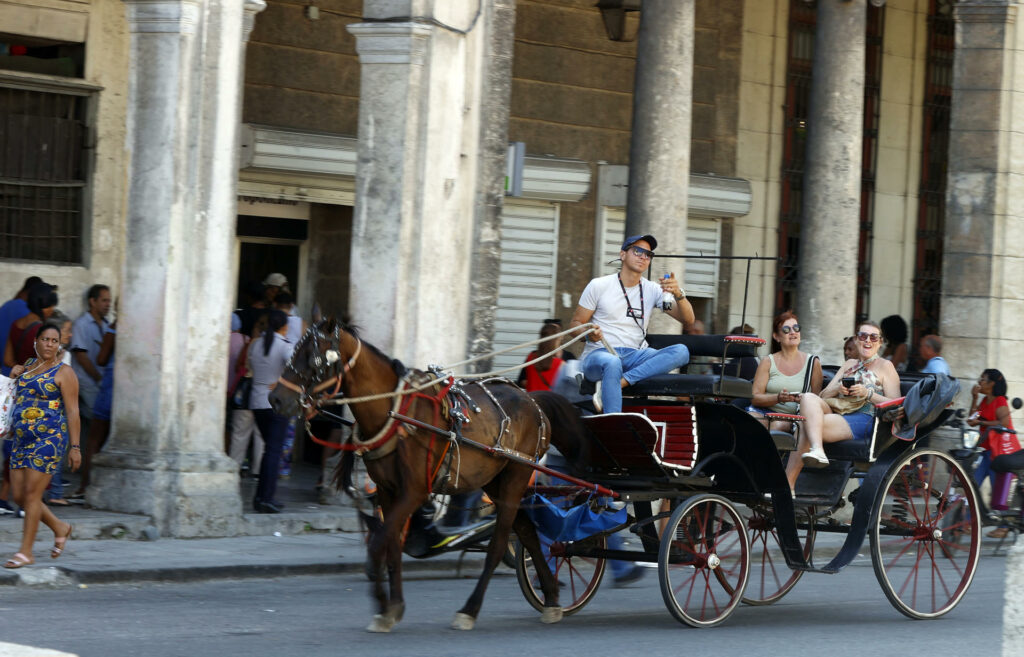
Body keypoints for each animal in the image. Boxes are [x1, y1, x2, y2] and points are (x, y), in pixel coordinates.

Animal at [268, 317, 565, 630]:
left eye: (313, 358)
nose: (275, 399)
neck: (394, 413)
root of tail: (533, 403)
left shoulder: (414, 491)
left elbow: (378, 546)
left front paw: (382, 596)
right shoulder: (388, 491)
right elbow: (390, 547)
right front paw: (391, 607)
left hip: (516, 476)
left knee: (498, 546)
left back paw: (470, 610)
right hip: (497, 481)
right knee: (528, 532)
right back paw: (552, 598)